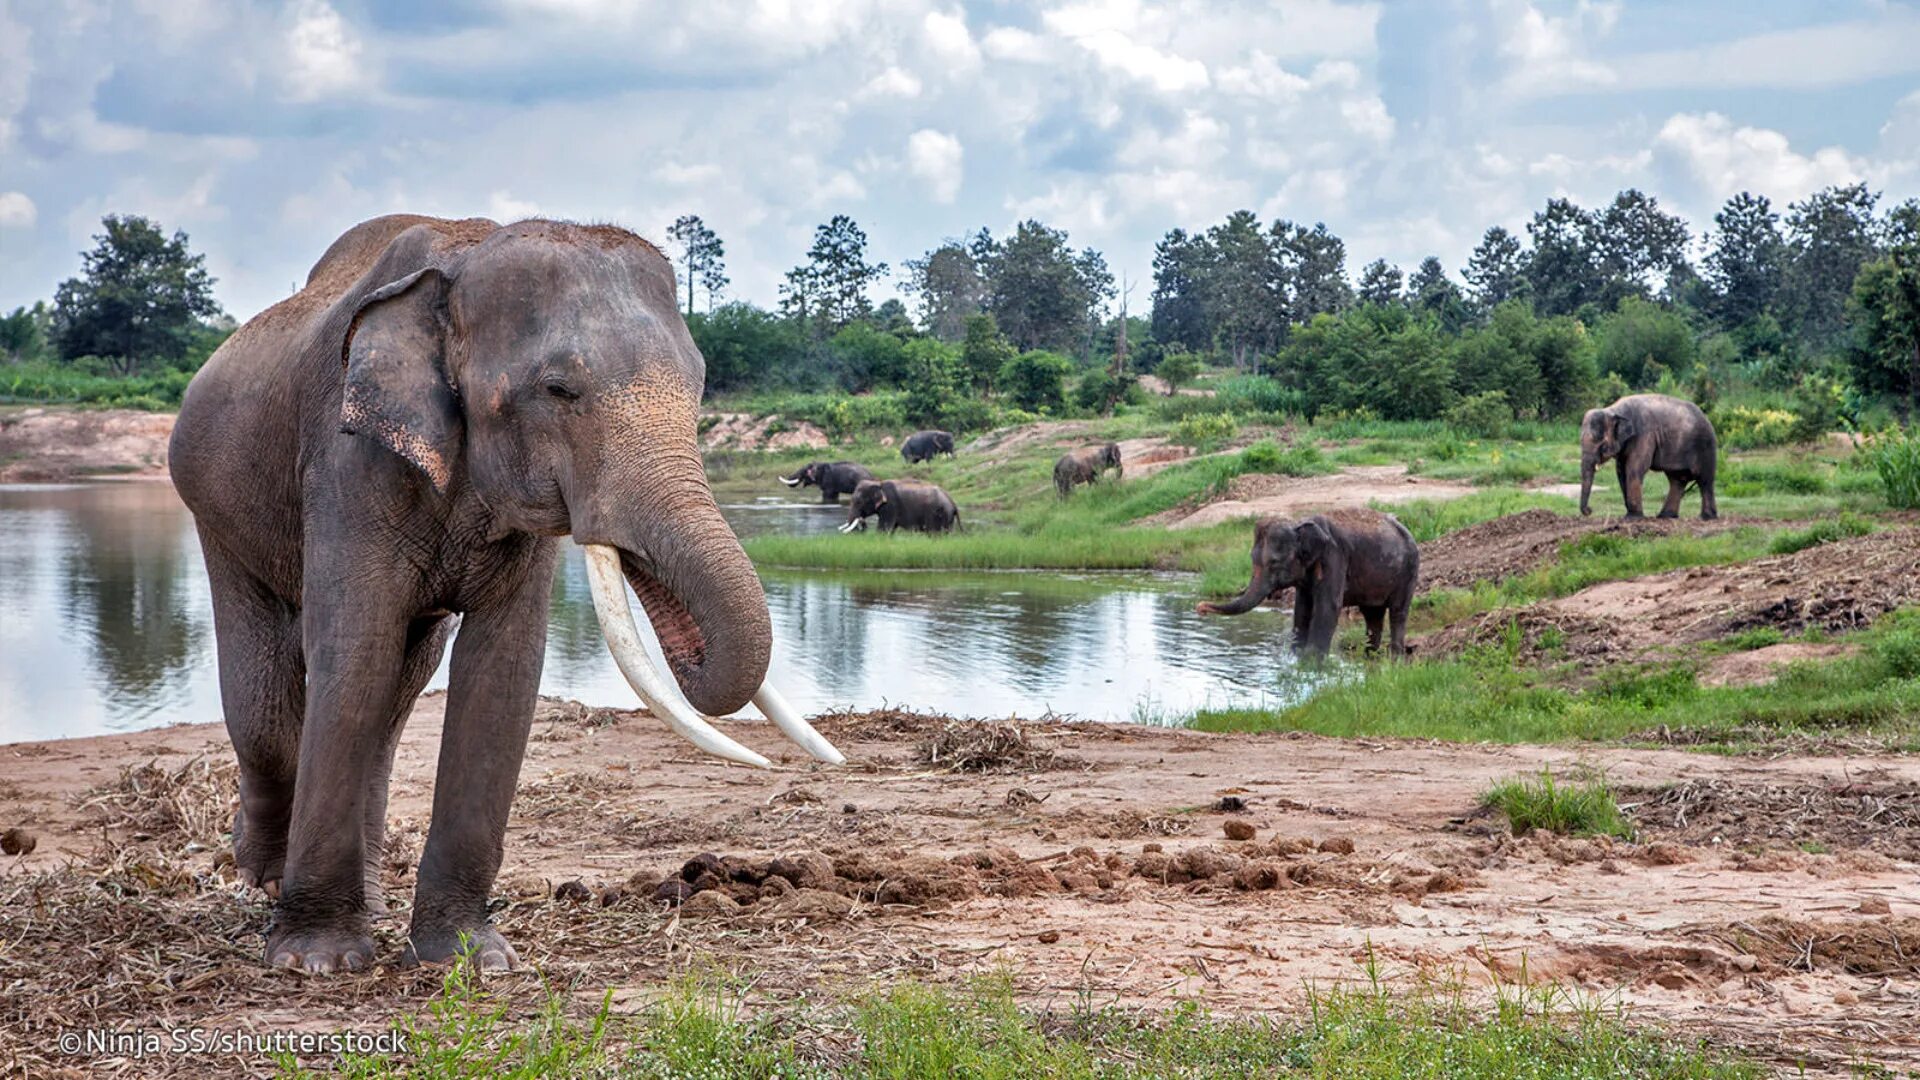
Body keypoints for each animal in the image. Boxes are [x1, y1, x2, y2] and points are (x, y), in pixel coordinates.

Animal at [168, 214, 844, 972]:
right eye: (559, 390)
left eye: (700, 386)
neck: (464, 257)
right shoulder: (347, 462)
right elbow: (354, 652)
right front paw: (316, 961)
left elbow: (503, 670)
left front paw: (470, 959)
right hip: (214, 505)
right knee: (264, 696)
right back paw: (260, 880)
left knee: (396, 694)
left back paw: (364, 900)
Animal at [1190, 503, 1420, 657]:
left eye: (1274, 562)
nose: (1200, 608)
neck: (1299, 524)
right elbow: (1302, 608)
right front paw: (1297, 659)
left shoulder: (1334, 557)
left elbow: (1328, 607)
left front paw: (1312, 666)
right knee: (1372, 615)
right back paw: (1369, 658)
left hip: (1409, 570)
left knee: (1398, 612)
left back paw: (1394, 660)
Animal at [1574, 393, 1728, 518]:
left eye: (1602, 446)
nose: (1589, 510)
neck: (1613, 410)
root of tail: (1706, 417)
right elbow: (1621, 471)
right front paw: (1630, 514)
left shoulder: (1644, 434)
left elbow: (1634, 468)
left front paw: (1633, 518)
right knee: (1678, 480)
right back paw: (1666, 516)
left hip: (1706, 446)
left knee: (1704, 480)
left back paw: (1706, 517)